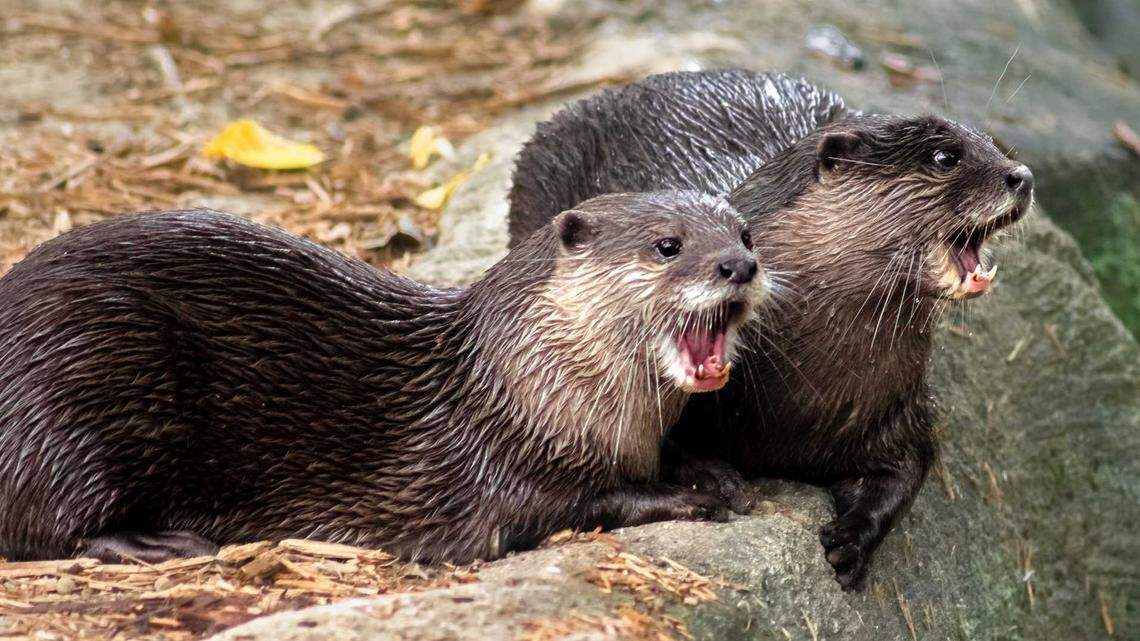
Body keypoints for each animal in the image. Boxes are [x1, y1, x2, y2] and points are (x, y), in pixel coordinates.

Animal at [0, 191, 765, 563]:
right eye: (667, 245)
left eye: (745, 233)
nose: (739, 265)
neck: (523, 391)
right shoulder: (499, 473)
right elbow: (577, 504)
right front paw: (681, 495)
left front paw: (712, 470)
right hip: (76, 385)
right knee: (40, 525)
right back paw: (153, 542)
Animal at [507, 69, 1034, 588]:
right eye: (946, 157)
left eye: (994, 144)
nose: (1022, 177)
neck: (811, 390)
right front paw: (716, 479)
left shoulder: (901, 405)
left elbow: (908, 471)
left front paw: (850, 539)